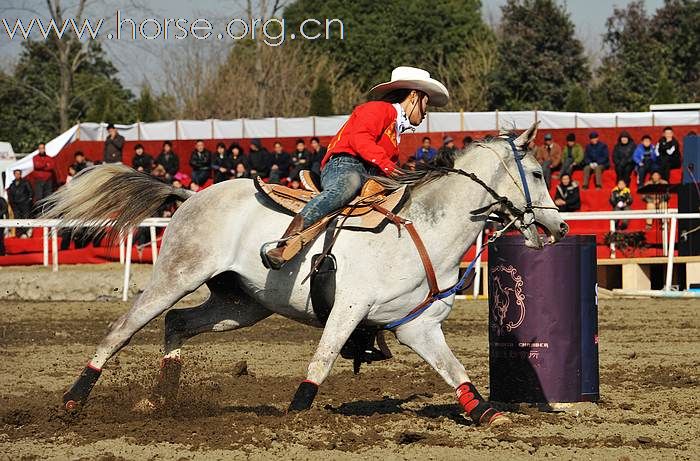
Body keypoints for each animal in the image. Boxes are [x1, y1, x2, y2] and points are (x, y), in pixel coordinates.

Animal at [43, 124, 568, 426]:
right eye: (538, 173)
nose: (559, 227)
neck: (422, 229)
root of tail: (190, 194)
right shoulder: (349, 308)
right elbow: (323, 358)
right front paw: (296, 410)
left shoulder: (418, 325)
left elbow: (454, 369)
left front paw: (488, 413)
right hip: (175, 276)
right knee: (123, 329)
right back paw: (73, 401)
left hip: (240, 305)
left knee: (178, 323)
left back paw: (162, 400)